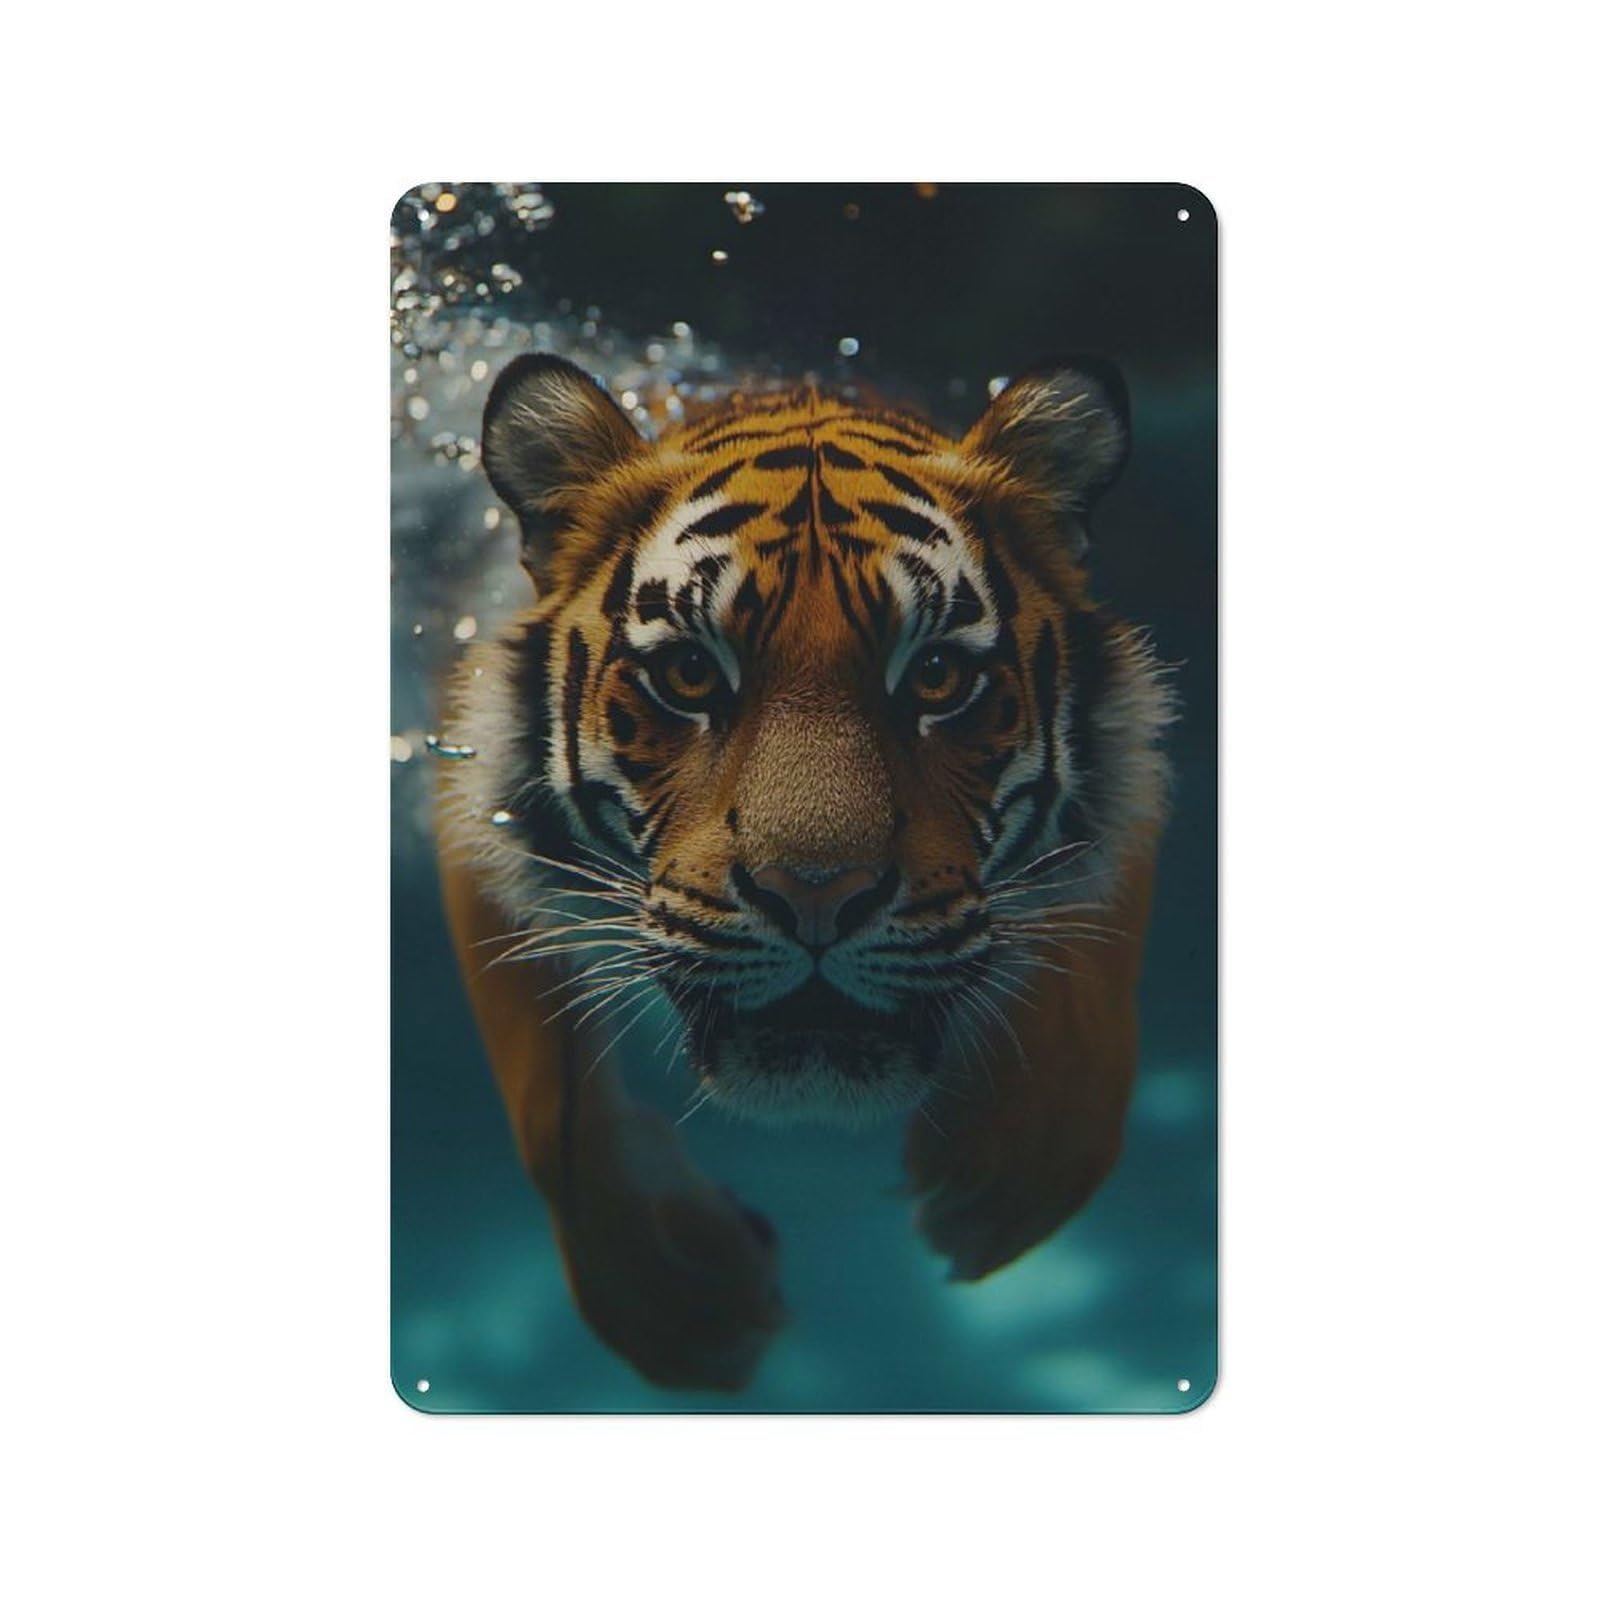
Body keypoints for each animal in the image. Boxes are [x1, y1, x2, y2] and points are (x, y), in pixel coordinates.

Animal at [436, 353, 1175, 1391]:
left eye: (938, 677)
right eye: (691, 676)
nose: (816, 895)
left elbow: (1093, 987)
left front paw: (1005, 1178)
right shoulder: (468, 807)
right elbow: (552, 1109)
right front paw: (682, 1301)